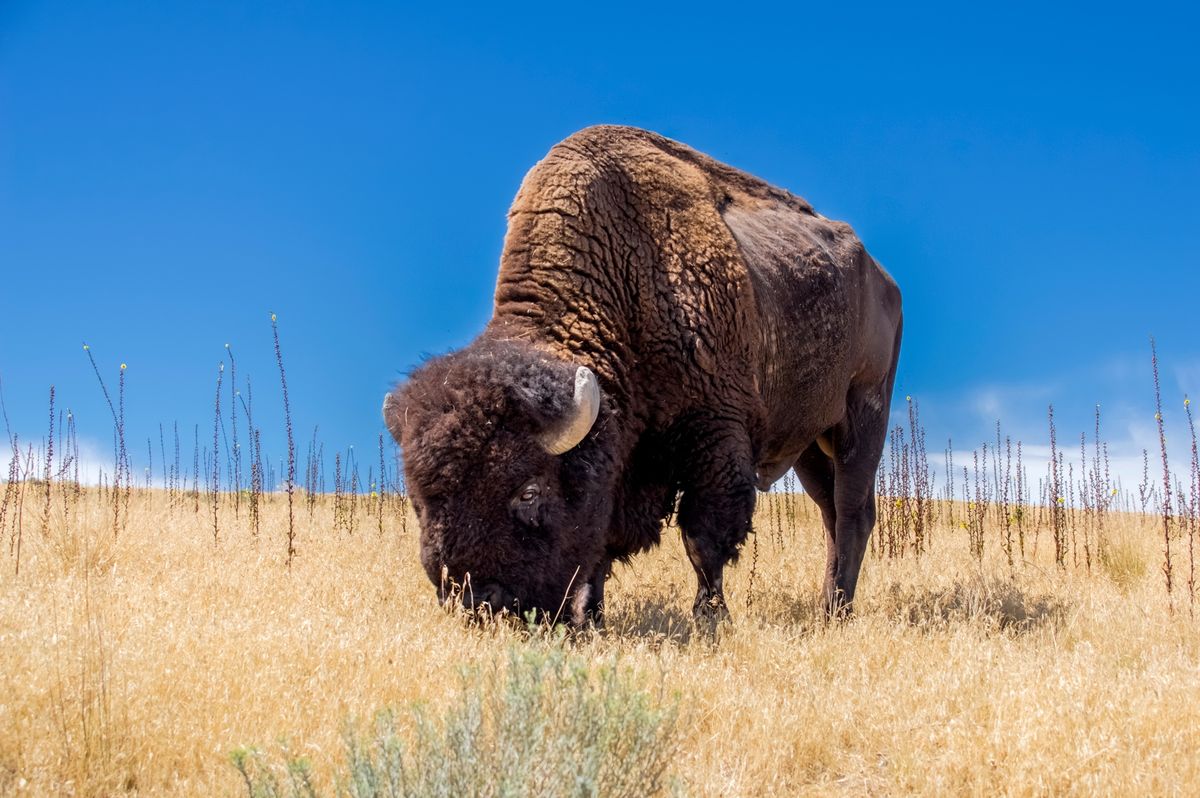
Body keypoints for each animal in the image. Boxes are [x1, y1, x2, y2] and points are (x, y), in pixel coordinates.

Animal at [384, 124, 902, 624]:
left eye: (529, 491)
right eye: (417, 498)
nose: (477, 601)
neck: (627, 272)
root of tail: (882, 277)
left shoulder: (716, 431)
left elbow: (703, 538)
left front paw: (710, 618)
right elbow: (603, 543)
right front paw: (590, 616)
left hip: (863, 412)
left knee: (852, 512)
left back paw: (836, 610)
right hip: (809, 444)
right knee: (830, 512)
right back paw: (829, 603)